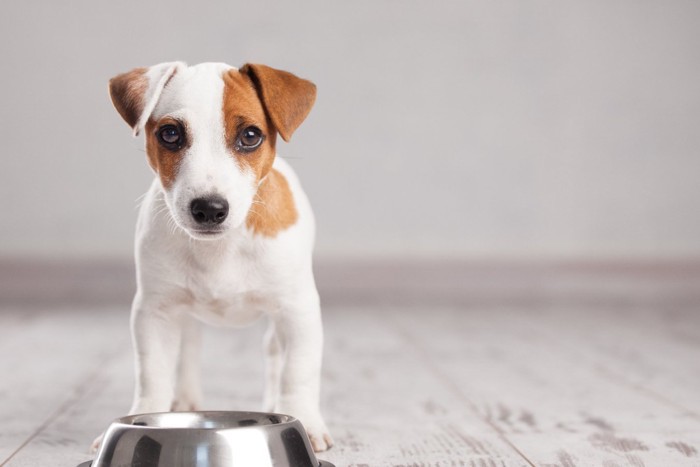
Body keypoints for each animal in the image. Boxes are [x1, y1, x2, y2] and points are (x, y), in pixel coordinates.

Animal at [95, 62, 334, 454]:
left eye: (251, 135)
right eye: (170, 134)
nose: (208, 208)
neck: (221, 249)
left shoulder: (297, 309)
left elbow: (298, 371)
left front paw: (305, 422)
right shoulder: (154, 312)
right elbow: (152, 373)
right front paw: (143, 414)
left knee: (273, 354)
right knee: (189, 347)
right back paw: (185, 400)